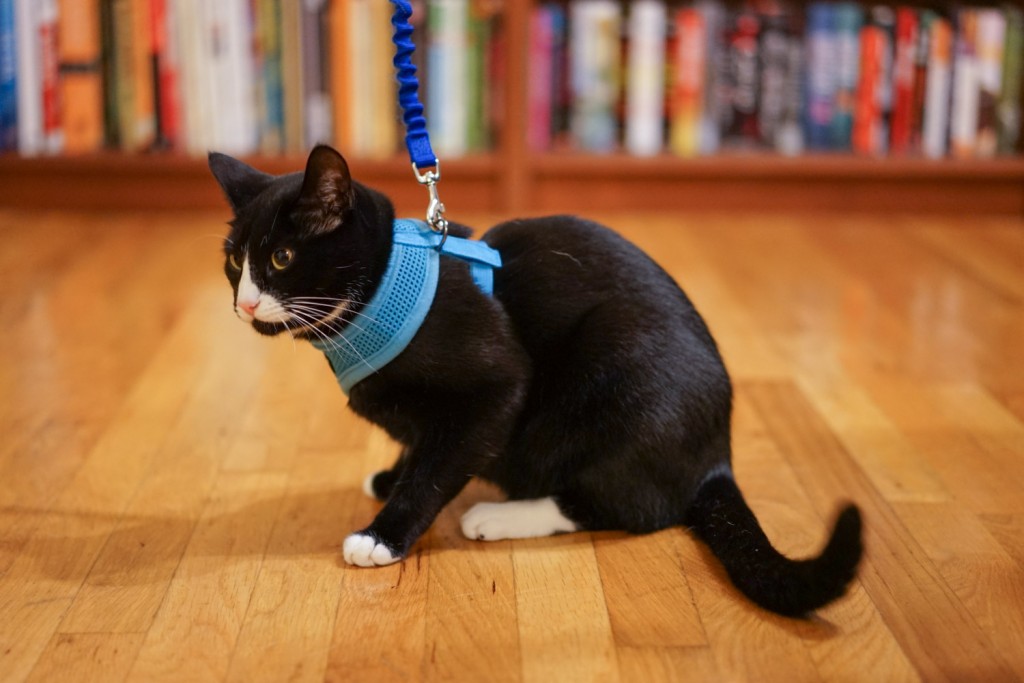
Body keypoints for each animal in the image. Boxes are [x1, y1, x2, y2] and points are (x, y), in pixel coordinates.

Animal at [209, 145, 864, 618]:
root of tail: (716, 456)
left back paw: (500, 516)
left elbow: (440, 465)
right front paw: (392, 475)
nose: (244, 304)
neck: (373, 300)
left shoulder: (496, 385)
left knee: (629, 506)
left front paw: (383, 535)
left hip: (617, 371)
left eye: (283, 258)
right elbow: (422, 444)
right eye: (234, 261)